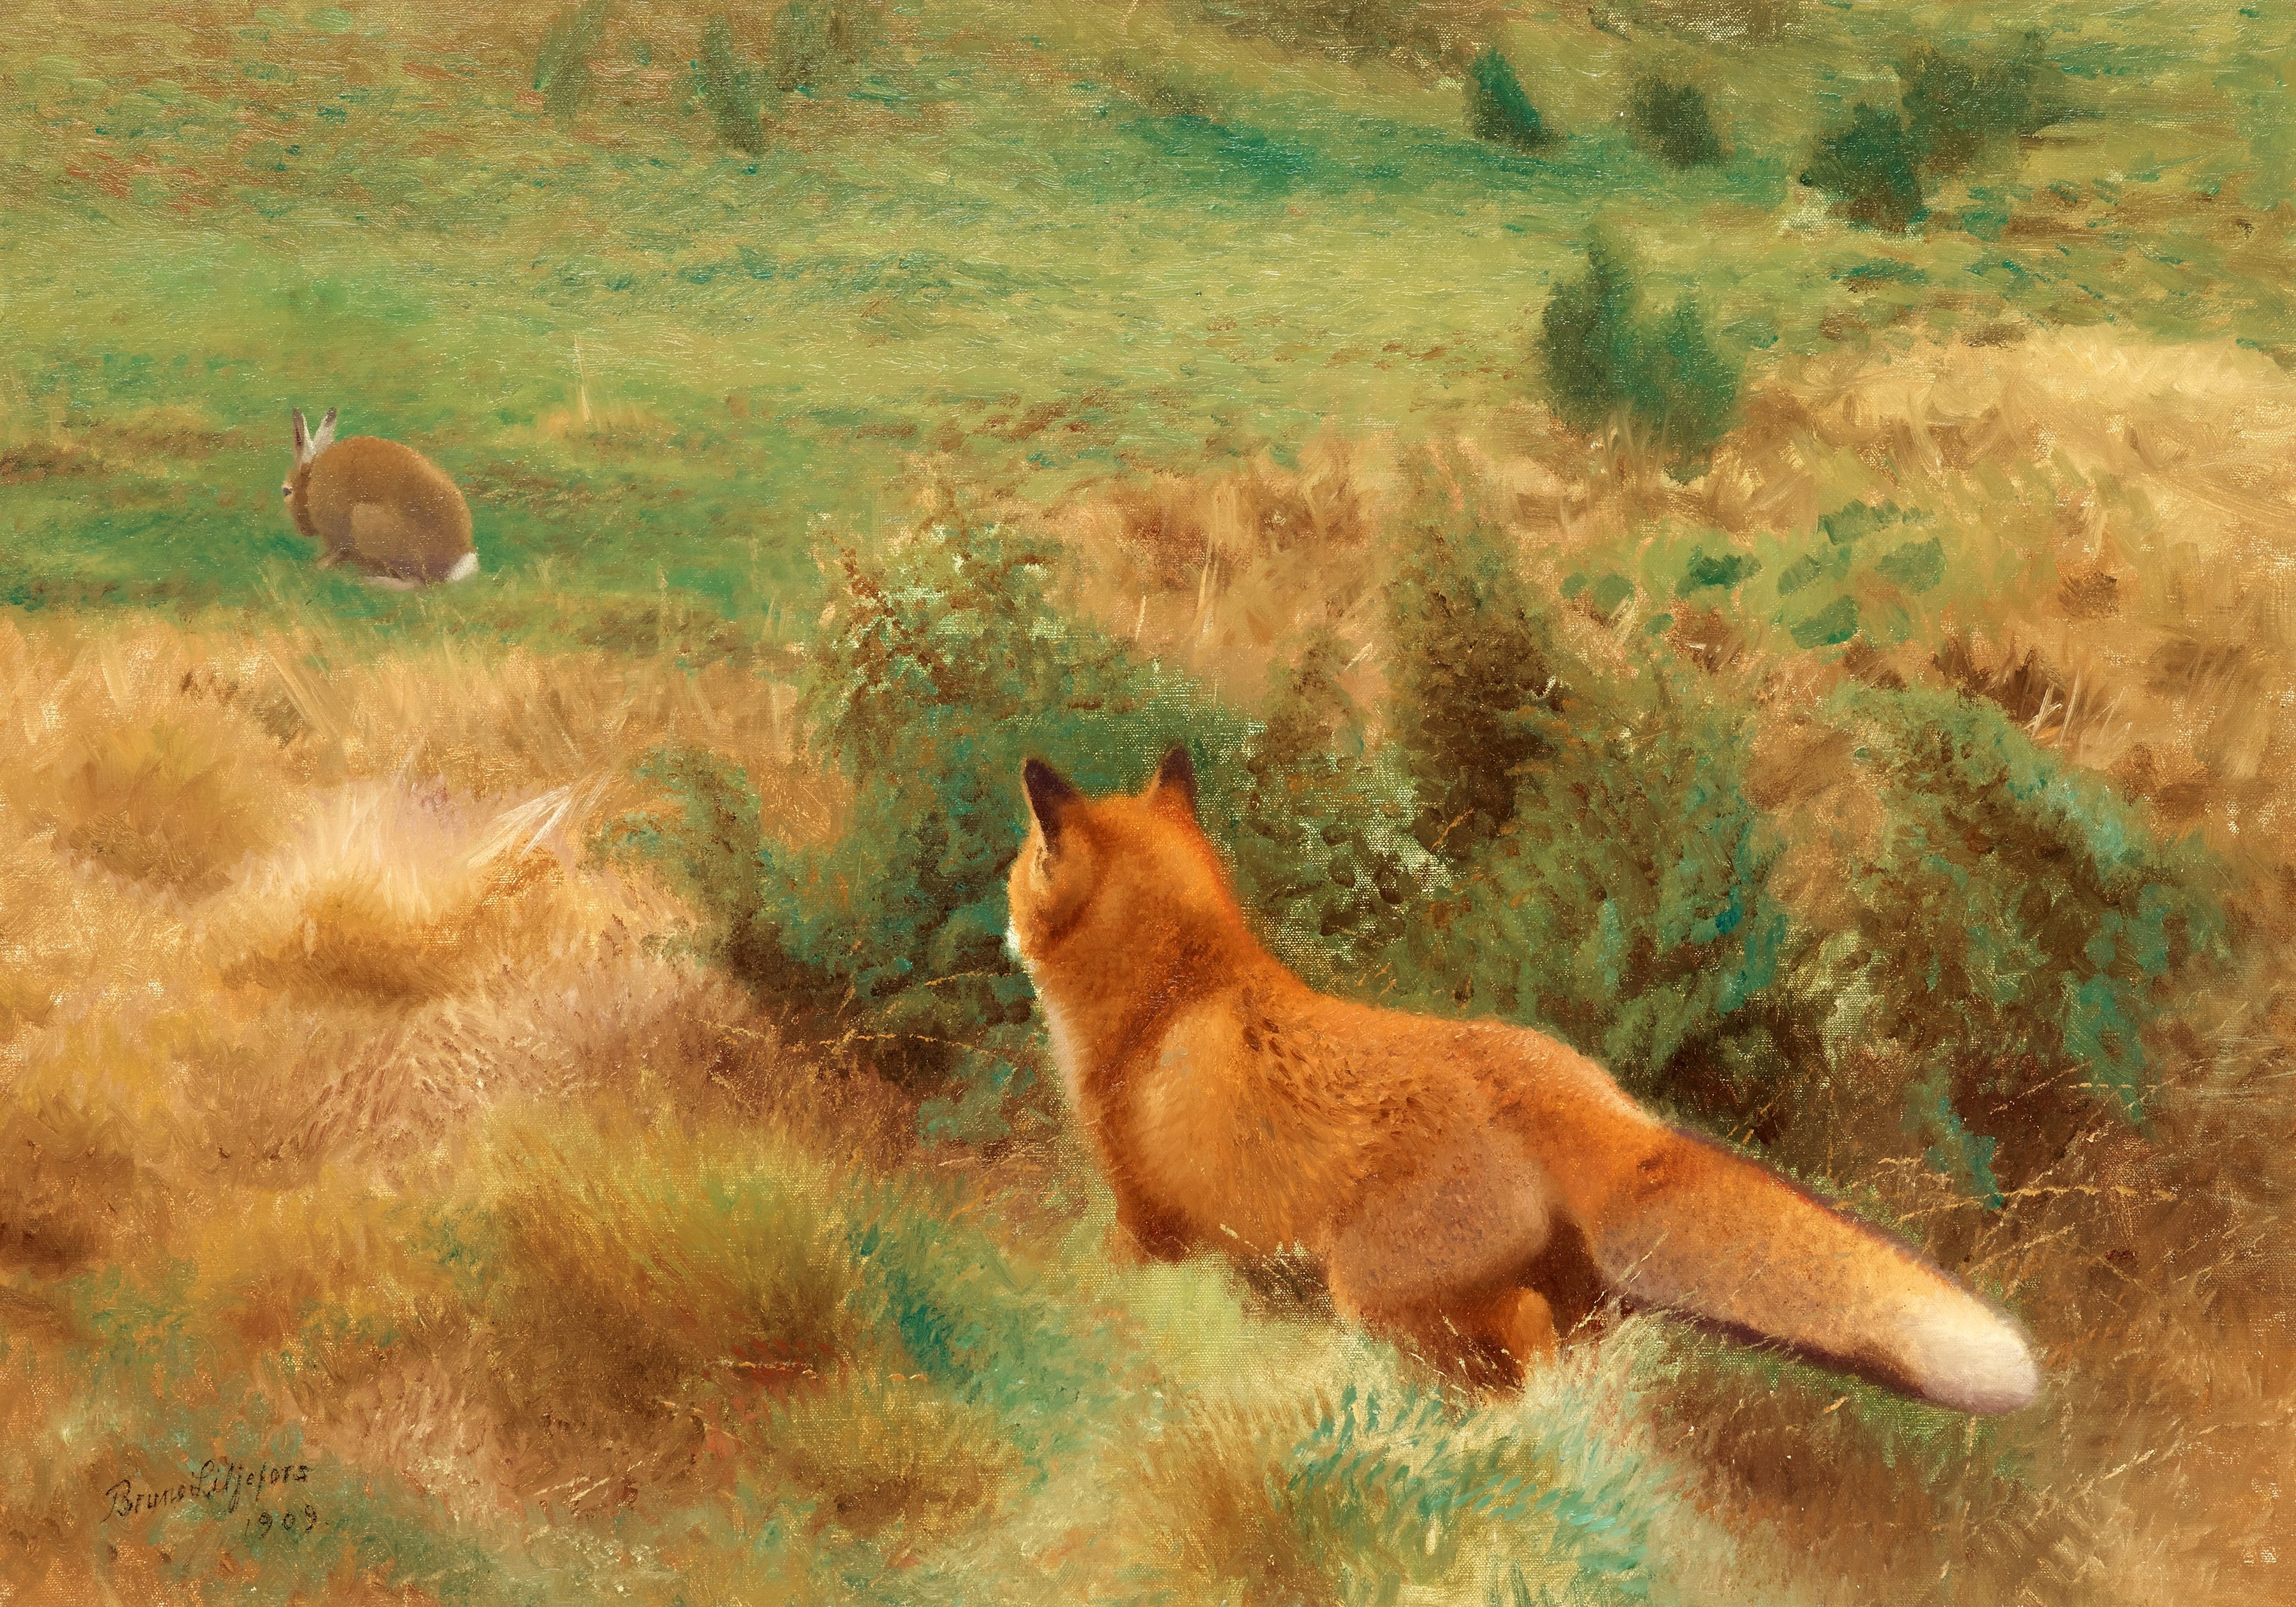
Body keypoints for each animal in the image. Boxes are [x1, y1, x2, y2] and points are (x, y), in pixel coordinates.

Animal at [282, 407, 478, 588]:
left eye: (286, 491)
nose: (302, 530)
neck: (310, 482)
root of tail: (455, 567)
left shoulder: (339, 535)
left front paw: (317, 567)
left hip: (368, 523)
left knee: (418, 584)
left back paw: (371, 581)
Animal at [1005, 747, 2041, 1414]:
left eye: (1019, 870)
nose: (1001, 922)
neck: (1173, 992)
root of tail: (1590, 1097)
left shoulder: (1145, 1218)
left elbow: (1103, 1281)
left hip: (1375, 1290)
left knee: (1515, 1334)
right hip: (1553, 1296)